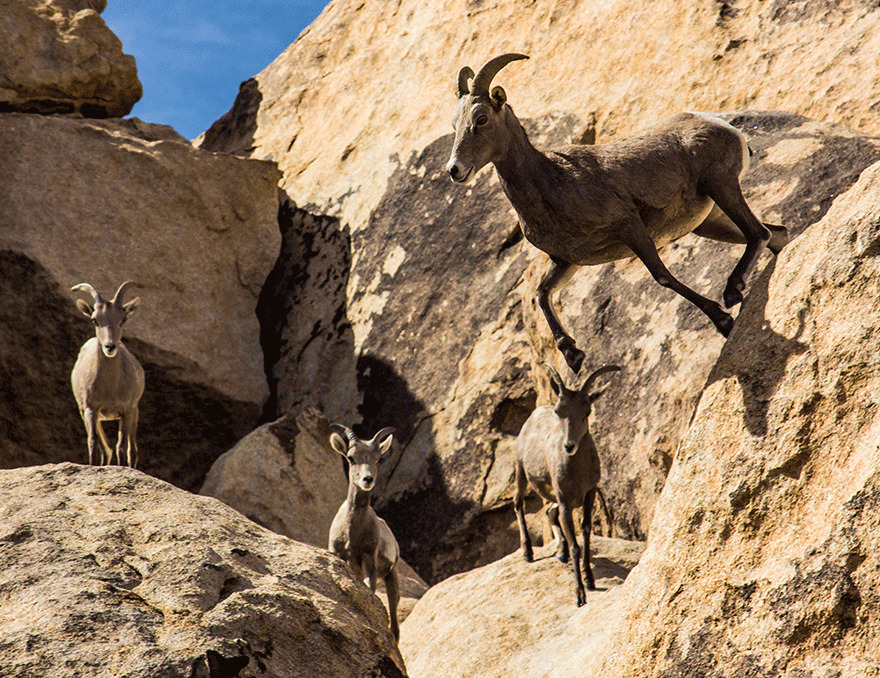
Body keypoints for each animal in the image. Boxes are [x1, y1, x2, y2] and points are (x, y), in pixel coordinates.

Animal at [70, 281, 145, 468]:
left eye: (123, 319)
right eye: (95, 319)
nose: (110, 346)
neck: (111, 387)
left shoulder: (126, 410)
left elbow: (121, 446)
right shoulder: (90, 409)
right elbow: (92, 442)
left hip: (135, 412)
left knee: (132, 450)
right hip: (91, 416)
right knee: (106, 450)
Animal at [328, 424, 401, 641]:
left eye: (378, 459)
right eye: (351, 457)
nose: (367, 479)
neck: (353, 535)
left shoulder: (369, 559)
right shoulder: (339, 556)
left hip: (392, 577)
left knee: (395, 627)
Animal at [447, 53, 788, 373]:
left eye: (481, 118)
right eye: (455, 125)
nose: (454, 170)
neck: (553, 182)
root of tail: (724, 126)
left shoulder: (630, 228)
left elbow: (662, 276)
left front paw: (722, 320)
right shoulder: (567, 261)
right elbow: (541, 294)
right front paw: (573, 355)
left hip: (721, 185)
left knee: (758, 233)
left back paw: (732, 291)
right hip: (709, 222)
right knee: (775, 234)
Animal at [514, 363, 620, 606]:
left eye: (587, 412)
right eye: (559, 412)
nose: (569, 446)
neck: (577, 472)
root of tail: (533, 415)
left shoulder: (589, 493)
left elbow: (586, 532)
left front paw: (590, 580)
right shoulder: (565, 502)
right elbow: (576, 546)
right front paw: (579, 595)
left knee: (548, 513)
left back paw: (560, 551)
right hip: (521, 472)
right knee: (518, 504)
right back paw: (528, 553)